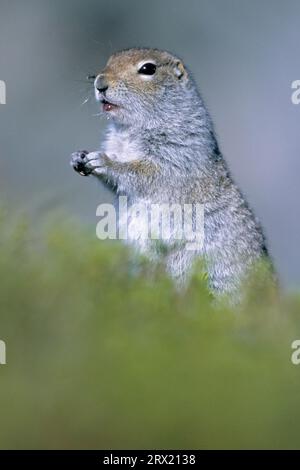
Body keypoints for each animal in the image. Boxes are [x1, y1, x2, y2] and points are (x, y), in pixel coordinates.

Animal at [71, 49, 272, 296]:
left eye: (148, 69)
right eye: (109, 61)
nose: (99, 83)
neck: (129, 129)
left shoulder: (174, 155)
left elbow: (141, 173)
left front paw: (103, 161)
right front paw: (78, 157)